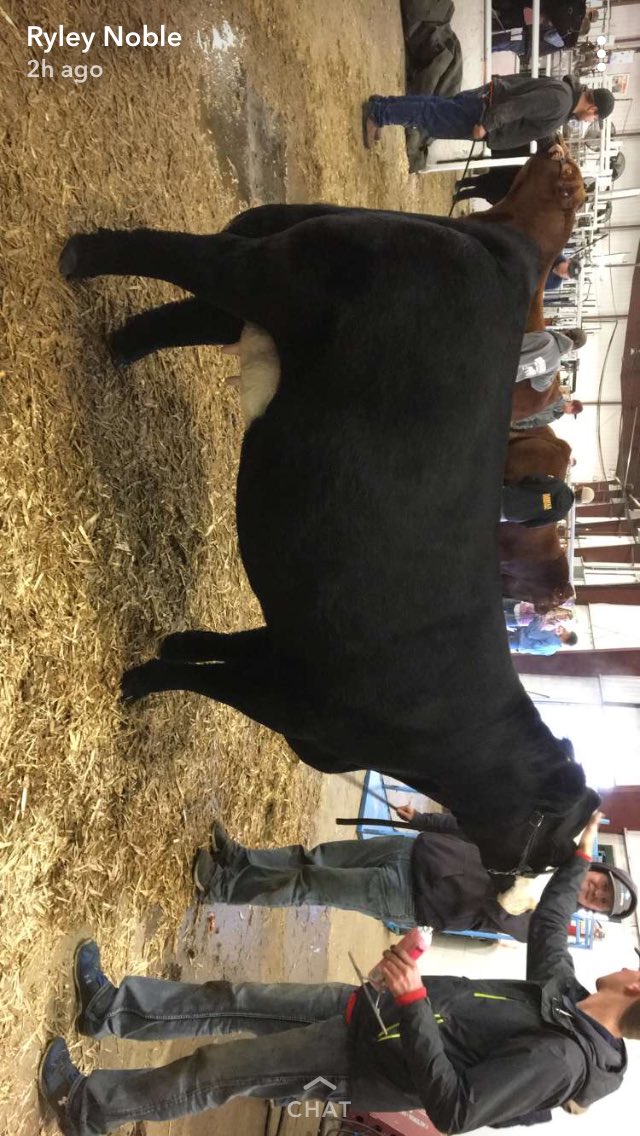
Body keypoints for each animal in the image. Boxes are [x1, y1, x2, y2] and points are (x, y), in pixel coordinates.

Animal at [59, 153, 598, 886]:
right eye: (554, 847)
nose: (507, 878)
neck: (458, 735)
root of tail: (497, 246)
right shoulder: (295, 702)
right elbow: (203, 682)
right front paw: (138, 683)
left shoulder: (288, 647)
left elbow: (220, 646)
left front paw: (172, 645)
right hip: (280, 274)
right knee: (197, 258)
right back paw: (78, 257)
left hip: (277, 256)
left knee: (194, 309)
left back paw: (117, 345)